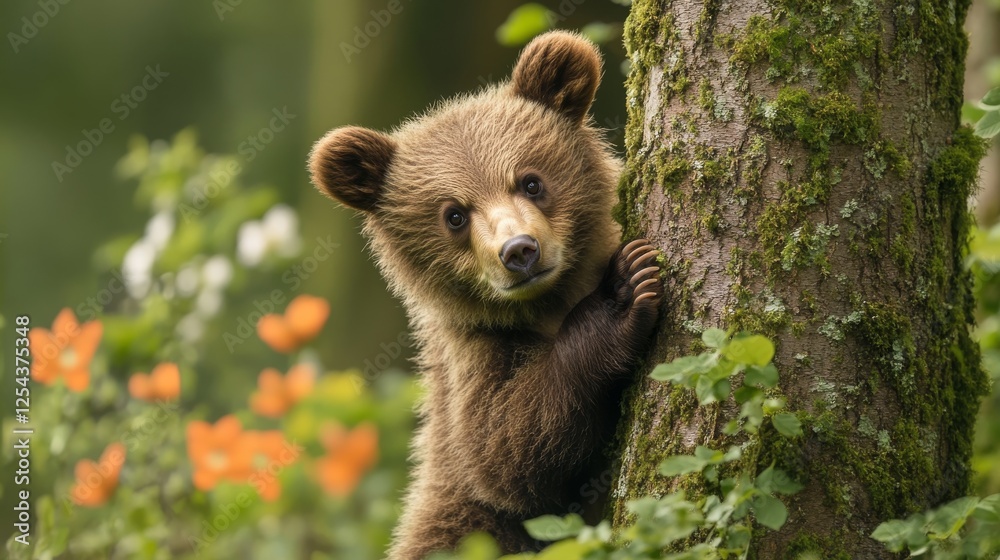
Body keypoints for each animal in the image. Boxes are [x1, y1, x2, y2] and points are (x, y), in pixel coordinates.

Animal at [308, 31, 662, 559]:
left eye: (531, 181)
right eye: (454, 214)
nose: (519, 251)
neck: (549, 305)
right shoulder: (475, 355)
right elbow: (506, 452)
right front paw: (623, 293)